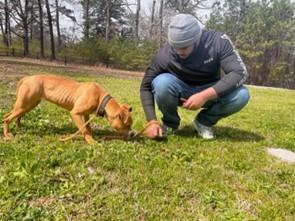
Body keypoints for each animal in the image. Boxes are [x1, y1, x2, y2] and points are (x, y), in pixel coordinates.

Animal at [2, 74, 134, 144]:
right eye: (127, 124)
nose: (133, 134)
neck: (102, 100)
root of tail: (27, 78)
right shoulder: (75, 113)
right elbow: (83, 129)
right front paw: (91, 142)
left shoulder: (85, 114)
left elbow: (88, 127)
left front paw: (90, 136)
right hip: (24, 105)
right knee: (7, 118)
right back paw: (7, 135)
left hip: (27, 105)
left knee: (7, 116)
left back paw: (17, 127)